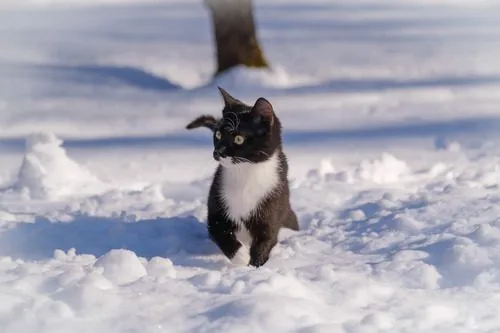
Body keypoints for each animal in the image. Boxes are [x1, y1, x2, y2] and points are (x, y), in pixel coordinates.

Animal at [187, 87, 298, 266]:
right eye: (218, 135)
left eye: (239, 138)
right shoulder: (217, 201)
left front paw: (255, 265)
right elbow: (219, 231)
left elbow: (267, 239)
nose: (217, 152)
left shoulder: (273, 201)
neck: (245, 173)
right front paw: (241, 257)